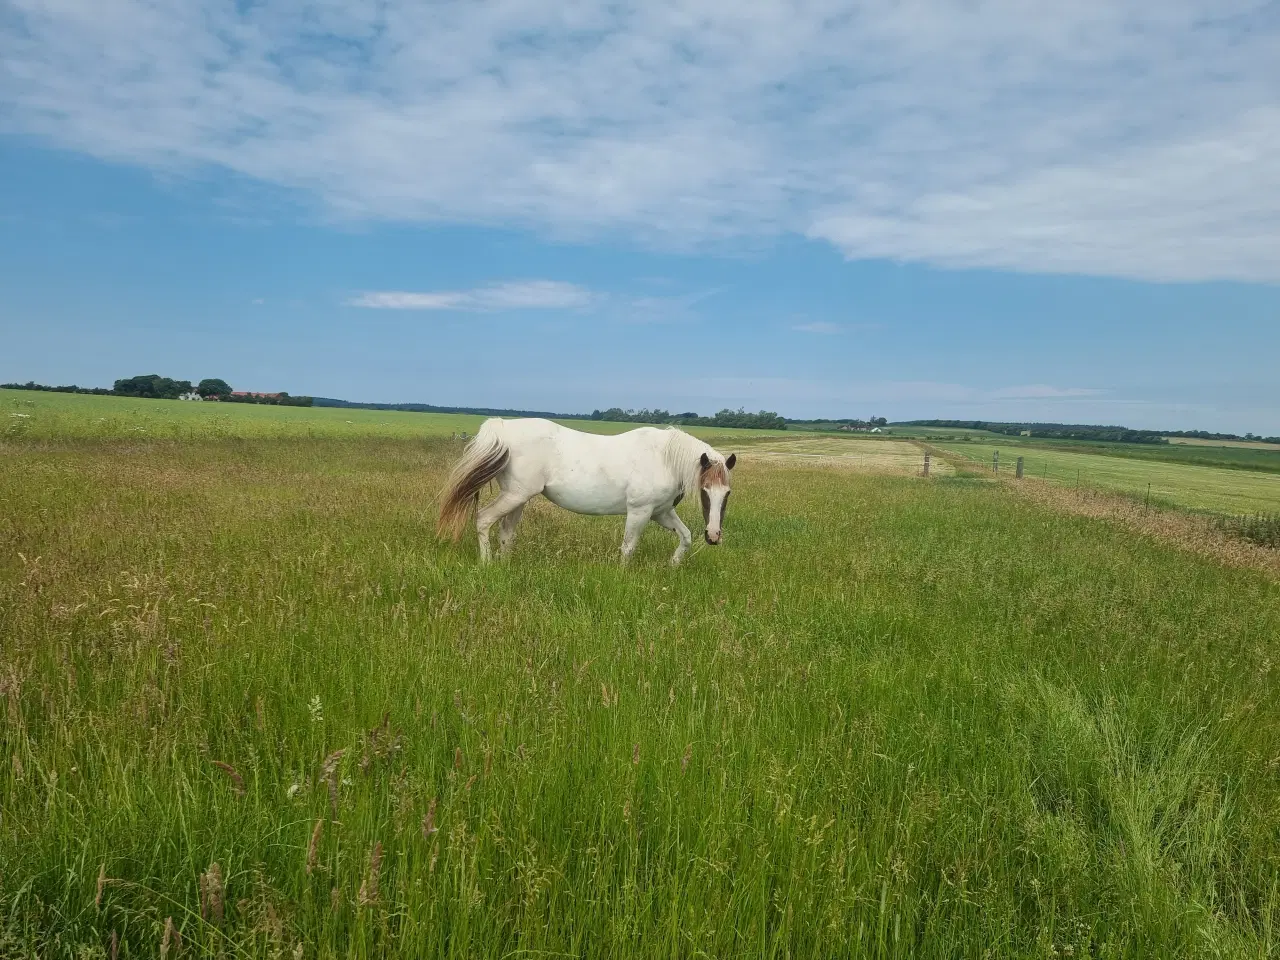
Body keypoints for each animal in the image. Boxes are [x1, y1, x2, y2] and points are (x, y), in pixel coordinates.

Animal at [440, 419, 742, 568]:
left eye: (727, 493)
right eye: (705, 491)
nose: (713, 536)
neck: (664, 458)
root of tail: (502, 427)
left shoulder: (661, 513)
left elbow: (686, 536)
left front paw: (673, 565)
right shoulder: (640, 511)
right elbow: (629, 547)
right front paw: (622, 576)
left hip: (518, 499)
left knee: (506, 533)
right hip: (514, 496)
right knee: (483, 519)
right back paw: (486, 564)